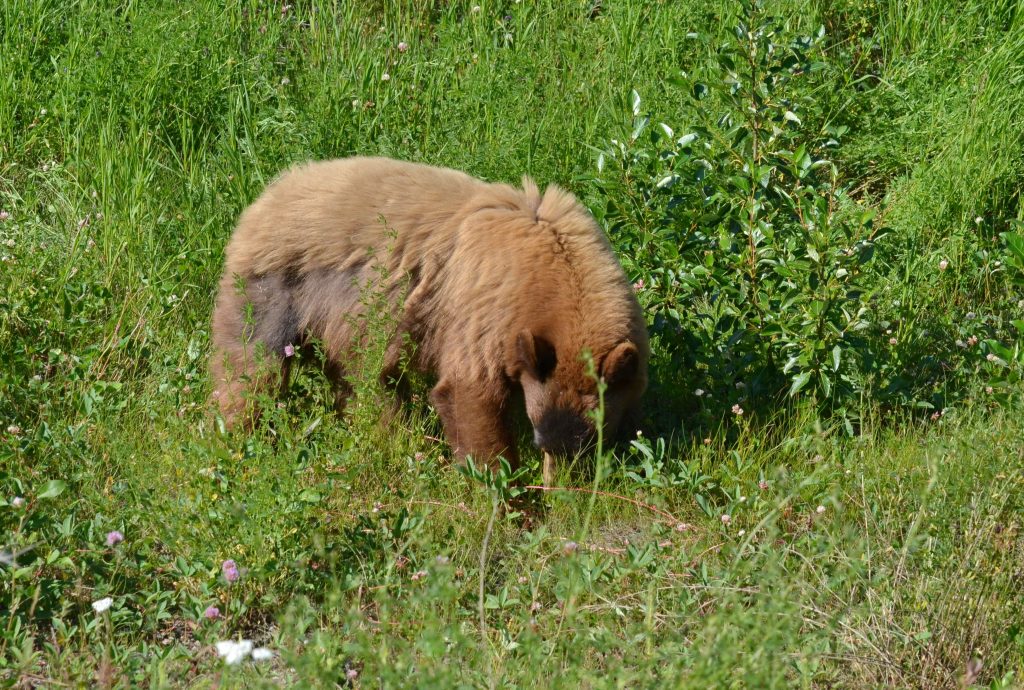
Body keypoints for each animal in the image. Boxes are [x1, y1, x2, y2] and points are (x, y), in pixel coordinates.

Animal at [209, 155, 647, 466]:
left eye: (591, 440)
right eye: (540, 437)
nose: (561, 479)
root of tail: (260, 202)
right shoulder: (481, 308)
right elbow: (468, 392)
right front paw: (508, 497)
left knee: (365, 383)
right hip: (273, 291)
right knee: (250, 371)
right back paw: (237, 440)